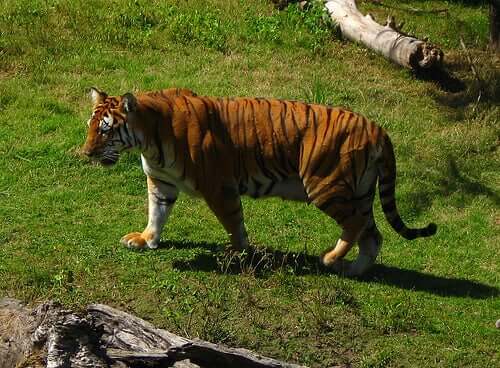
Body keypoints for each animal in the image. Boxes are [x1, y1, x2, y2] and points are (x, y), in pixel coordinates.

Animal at [82, 87, 434, 276]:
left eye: (106, 130)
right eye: (90, 127)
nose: (86, 153)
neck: (149, 139)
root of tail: (378, 129)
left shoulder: (219, 187)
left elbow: (233, 222)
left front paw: (238, 253)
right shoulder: (161, 182)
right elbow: (157, 213)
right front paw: (145, 239)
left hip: (326, 186)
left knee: (356, 225)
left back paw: (331, 258)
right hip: (359, 193)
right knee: (373, 235)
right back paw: (353, 270)